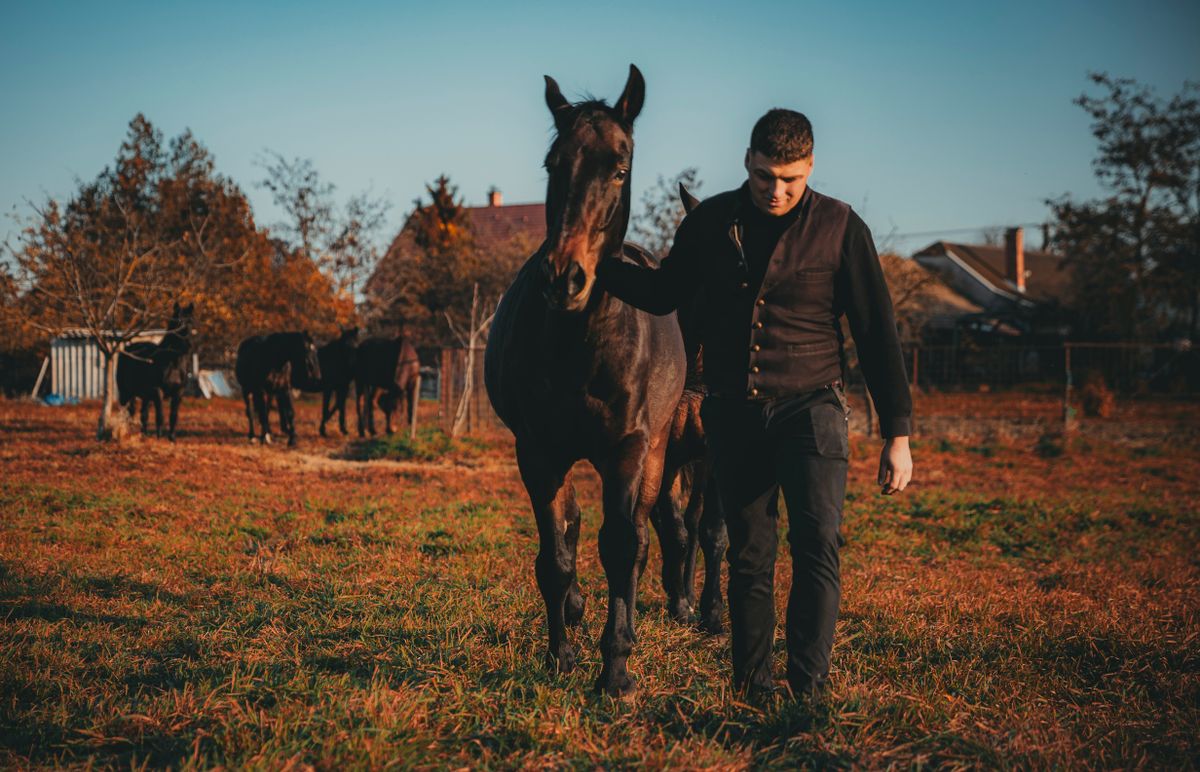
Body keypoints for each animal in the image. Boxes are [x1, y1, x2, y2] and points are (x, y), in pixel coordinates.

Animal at [117, 302, 194, 441]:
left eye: (191, 321)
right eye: (178, 321)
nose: (188, 345)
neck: (173, 364)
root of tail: (127, 348)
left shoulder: (178, 392)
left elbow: (173, 415)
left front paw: (172, 437)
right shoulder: (158, 391)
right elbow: (160, 415)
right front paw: (159, 437)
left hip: (145, 396)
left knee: (143, 414)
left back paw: (144, 435)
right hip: (125, 393)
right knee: (126, 413)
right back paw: (127, 433)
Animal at [484, 63, 700, 696]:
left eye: (620, 167)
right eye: (553, 165)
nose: (565, 278)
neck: (579, 344)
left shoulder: (628, 450)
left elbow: (622, 546)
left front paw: (616, 670)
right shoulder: (537, 451)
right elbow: (556, 554)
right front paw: (560, 654)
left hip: (658, 453)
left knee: (646, 537)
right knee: (575, 527)